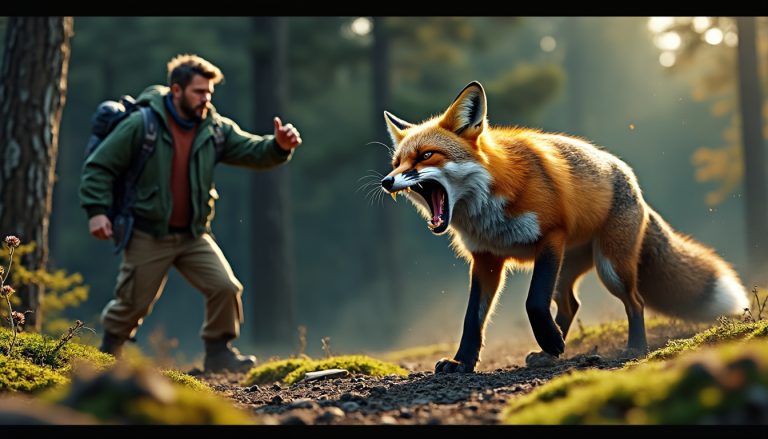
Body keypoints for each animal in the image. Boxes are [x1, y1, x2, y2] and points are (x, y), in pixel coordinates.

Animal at [380, 81, 749, 373]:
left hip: (610, 268)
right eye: (397, 162)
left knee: (635, 301)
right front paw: (462, 362)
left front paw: (551, 341)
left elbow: (532, 302)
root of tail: (634, 185)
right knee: (571, 305)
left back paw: (633, 348)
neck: (488, 205)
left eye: (426, 155)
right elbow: (474, 318)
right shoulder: (486, 258)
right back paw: (548, 353)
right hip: (566, 273)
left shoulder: (550, 237)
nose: (386, 182)